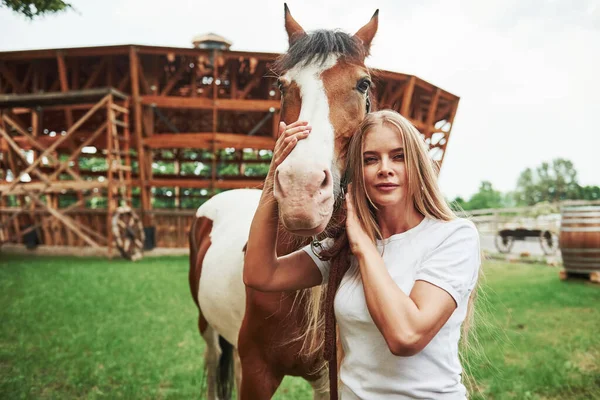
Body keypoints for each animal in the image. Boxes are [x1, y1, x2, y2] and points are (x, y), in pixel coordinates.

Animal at [188, 6, 378, 400]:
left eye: (363, 84)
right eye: (282, 86)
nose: (300, 190)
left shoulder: (329, 378)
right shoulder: (258, 373)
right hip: (207, 327)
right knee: (213, 364)